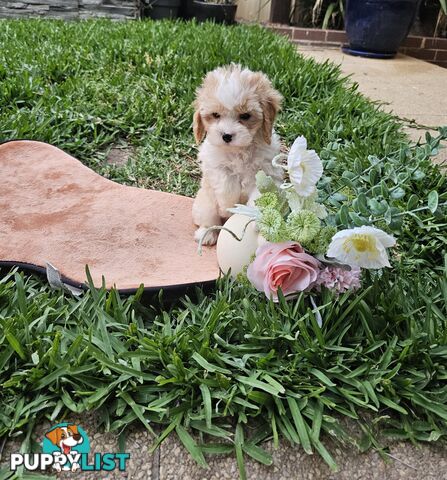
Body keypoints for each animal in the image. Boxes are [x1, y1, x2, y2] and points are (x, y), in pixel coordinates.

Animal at [192, 64, 284, 244]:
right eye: (216, 115)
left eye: (245, 116)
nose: (226, 136)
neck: (239, 150)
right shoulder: (216, 166)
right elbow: (227, 184)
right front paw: (227, 207)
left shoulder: (266, 171)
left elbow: (259, 195)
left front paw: (256, 218)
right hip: (204, 204)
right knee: (210, 219)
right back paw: (207, 233)